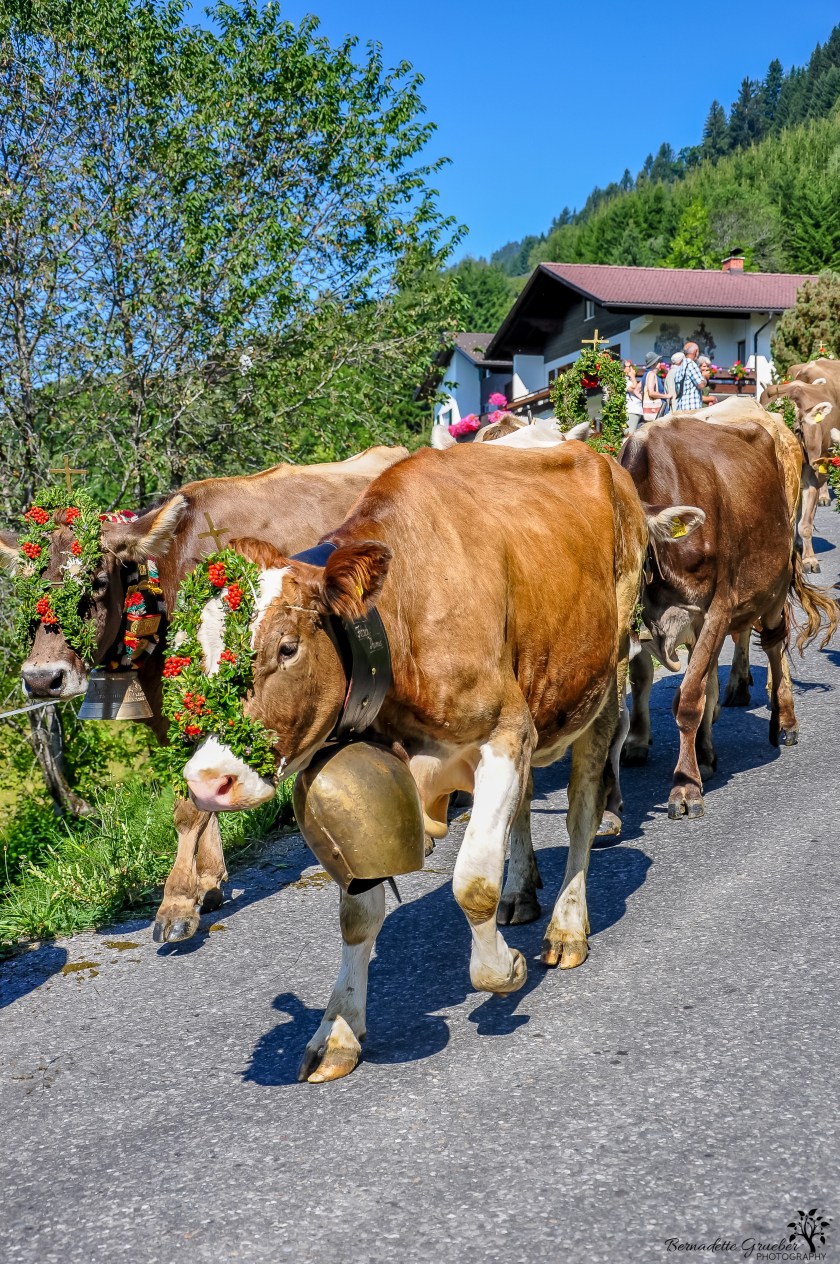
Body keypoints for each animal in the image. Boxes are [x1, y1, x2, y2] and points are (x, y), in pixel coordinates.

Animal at [0, 447, 408, 942]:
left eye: (95, 580)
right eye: (24, 588)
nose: (43, 679)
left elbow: (187, 809)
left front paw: (176, 904)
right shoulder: (168, 710)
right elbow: (195, 790)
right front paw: (209, 882)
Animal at [178, 441, 702, 1081]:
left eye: (287, 647)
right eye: (193, 654)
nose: (207, 780)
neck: (402, 616)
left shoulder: (506, 728)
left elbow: (471, 881)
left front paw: (502, 970)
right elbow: (359, 914)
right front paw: (338, 1031)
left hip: (603, 679)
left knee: (583, 808)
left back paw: (566, 925)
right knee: (524, 806)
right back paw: (520, 893)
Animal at [620, 414, 838, 819]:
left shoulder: (717, 608)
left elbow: (689, 699)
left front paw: (685, 787)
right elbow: (660, 680)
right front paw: (654, 748)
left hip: (773, 587)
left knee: (774, 647)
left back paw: (785, 721)